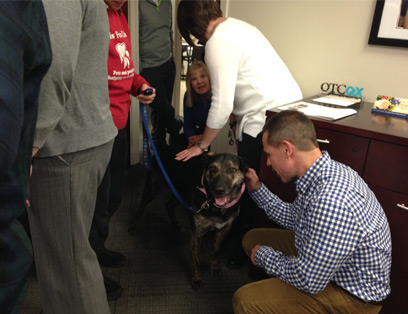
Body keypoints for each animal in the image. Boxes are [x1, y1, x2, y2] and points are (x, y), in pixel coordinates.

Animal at [188, 153, 249, 290]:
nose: (219, 190)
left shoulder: (224, 230)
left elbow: (216, 250)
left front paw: (214, 267)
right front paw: (197, 277)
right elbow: (195, 258)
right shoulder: (196, 233)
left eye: (232, 169)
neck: (216, 207)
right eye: (212, 168)